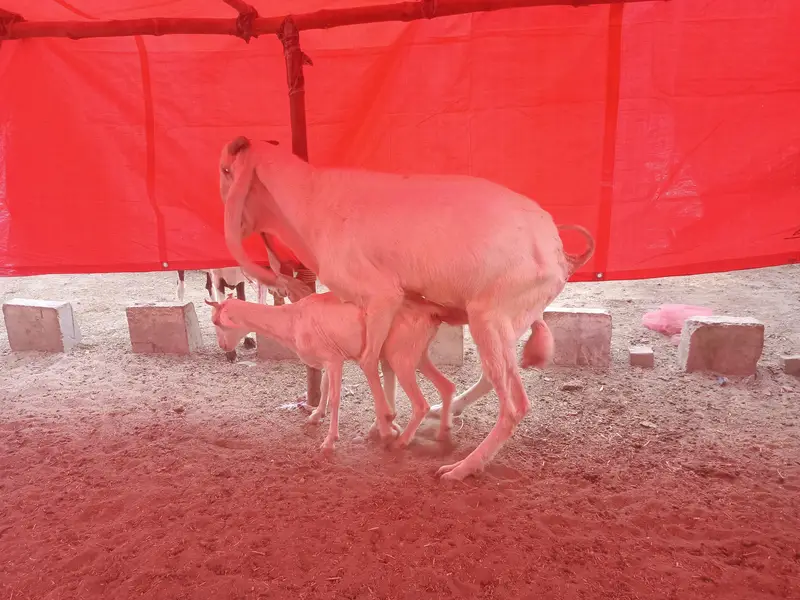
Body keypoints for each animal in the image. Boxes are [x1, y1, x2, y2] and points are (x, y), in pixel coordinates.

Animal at [205, 293, 462, 452]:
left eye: (217, 321)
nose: (223, 347)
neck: (292, 319)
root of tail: (430, 311)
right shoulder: (327, 359)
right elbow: (325, 388)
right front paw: (315, 416)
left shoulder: (334, 360)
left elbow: (336, 398)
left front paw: (329, 442)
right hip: (417, 355)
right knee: (447, 385)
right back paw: (443, 433)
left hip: (401, 358)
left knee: (421, 404)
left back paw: (402, 441)